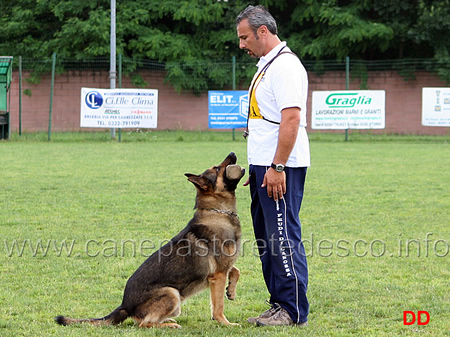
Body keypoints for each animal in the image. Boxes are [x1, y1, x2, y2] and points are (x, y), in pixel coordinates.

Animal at [57, 152, 246, 328]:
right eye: (217, 168)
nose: (232, 153)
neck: (217, 212)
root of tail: (125, 305)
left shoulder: (223, 268)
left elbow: (236, 270)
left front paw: (231, 290)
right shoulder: (218, 275)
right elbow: (218, 306)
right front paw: (226, 323)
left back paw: (167, 320)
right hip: (171, 293)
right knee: (144, 324)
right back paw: (169, 325)